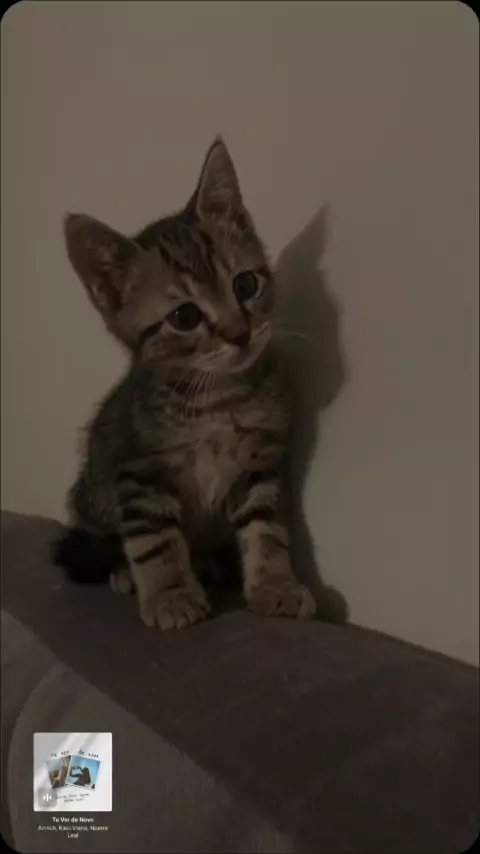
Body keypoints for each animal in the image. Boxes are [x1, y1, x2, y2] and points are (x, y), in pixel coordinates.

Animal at [53, 137, 316, 630]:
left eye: (245, 284)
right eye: (185, 317)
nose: (240, 333)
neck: (217, 399)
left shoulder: (262, 462)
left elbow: (267, 528)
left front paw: (275, 584)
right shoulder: (137, 471)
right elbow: (154, 540)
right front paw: (170, 594)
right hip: (93, 490)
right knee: (104, 540)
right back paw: (125, 572)